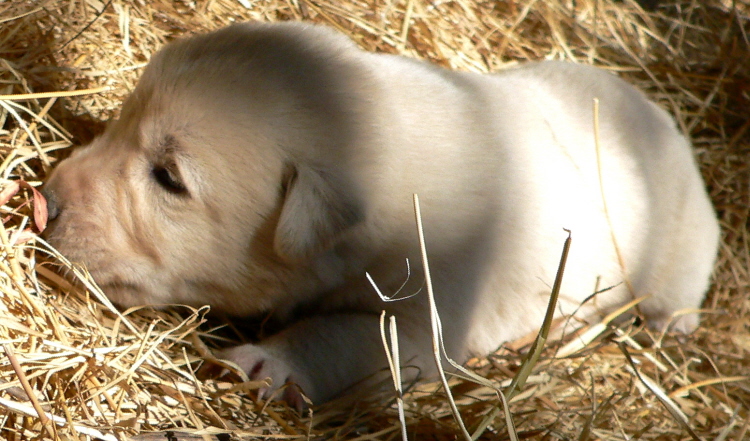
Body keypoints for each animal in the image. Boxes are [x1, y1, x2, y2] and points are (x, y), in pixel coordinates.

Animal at [42, 22, 724, 404]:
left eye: (169, 178)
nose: (43, 202)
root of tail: (662, 115)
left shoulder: (433, 312)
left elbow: (356, 335)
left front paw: (264, 362)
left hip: (681, 250)